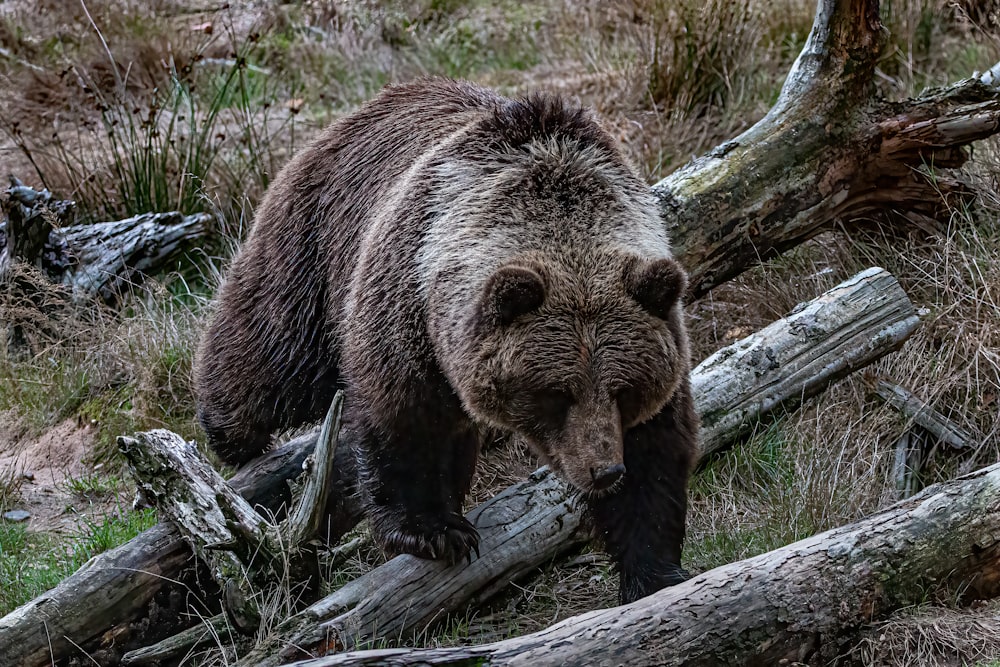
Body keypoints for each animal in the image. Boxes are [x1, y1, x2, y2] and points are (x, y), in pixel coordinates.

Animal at [193, 78, 696, 604]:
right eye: (557, 394)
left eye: (624, 390)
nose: (604, 471)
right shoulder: (407, 307)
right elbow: (406, 421)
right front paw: (434, 531)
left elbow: (656, 450)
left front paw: (654, 571)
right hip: (314, 245)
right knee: (272, 347)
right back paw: (229, 430)